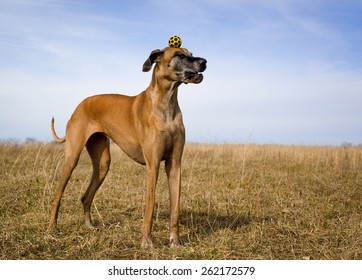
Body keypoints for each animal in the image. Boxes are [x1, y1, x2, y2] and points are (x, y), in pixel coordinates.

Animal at [48, 47, 206, 248]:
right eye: (179, 55)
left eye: (190, 53)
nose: (204, 62)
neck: (165, 103)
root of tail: (80, 105)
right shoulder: (153, 165)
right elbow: (150, 205)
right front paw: (147, 242)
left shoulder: (175, 165)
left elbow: (175, 208)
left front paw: (175, 242)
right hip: (72, 159)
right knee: (57, 196)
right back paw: (51, 227)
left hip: (102, 163)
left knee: (86, 197)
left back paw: (89, 225)